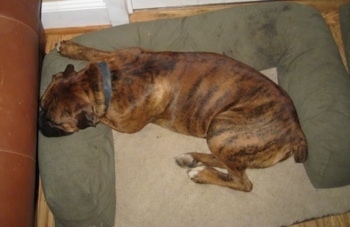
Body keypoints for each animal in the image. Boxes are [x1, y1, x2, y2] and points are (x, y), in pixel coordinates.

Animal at [39, 40, 306, 191]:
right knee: (229, 163)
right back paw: (193, 160)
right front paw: (69, 47)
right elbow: (92, 53)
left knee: (243, 182)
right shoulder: (109, 58)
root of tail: (296, 130)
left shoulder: (123, 122)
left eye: (53, 121)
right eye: (40, 106)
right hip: (223, 138)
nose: (39, 124)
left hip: (221, 129)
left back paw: (200, 173)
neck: (103, 81)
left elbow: (101, 116)